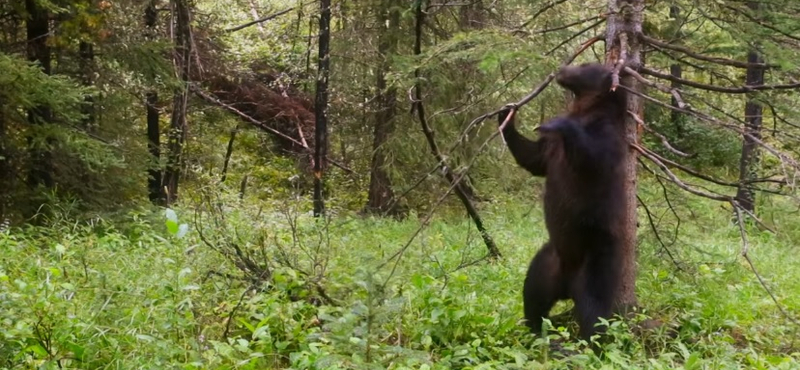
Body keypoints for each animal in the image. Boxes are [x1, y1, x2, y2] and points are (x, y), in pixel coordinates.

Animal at [496, 62, 628, 342]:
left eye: (586, 65)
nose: (564, 67)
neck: (586, 111)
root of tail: (567, 286)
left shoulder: (607, 136)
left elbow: (594, 157)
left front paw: (555, 123)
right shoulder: (550, 150)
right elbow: (533, 158)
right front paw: (506, 114)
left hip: (596, 255)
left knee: (594, 306)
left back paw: (586, 342)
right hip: (550, 260)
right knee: (534, 290)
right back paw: (536, 328)